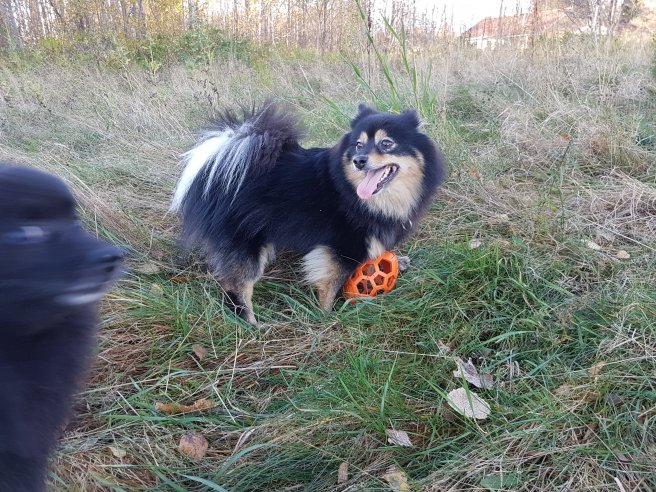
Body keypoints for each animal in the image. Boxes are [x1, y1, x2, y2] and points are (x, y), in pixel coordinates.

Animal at [171, 103, 445, 325]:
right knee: (237, 285)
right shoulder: (341, 246)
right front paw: (327, 316)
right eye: (358, 144)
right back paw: (251, 323)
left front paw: (399, 261)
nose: (358, 160)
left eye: (386, 143)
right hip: (246, 240)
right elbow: (329, 284)